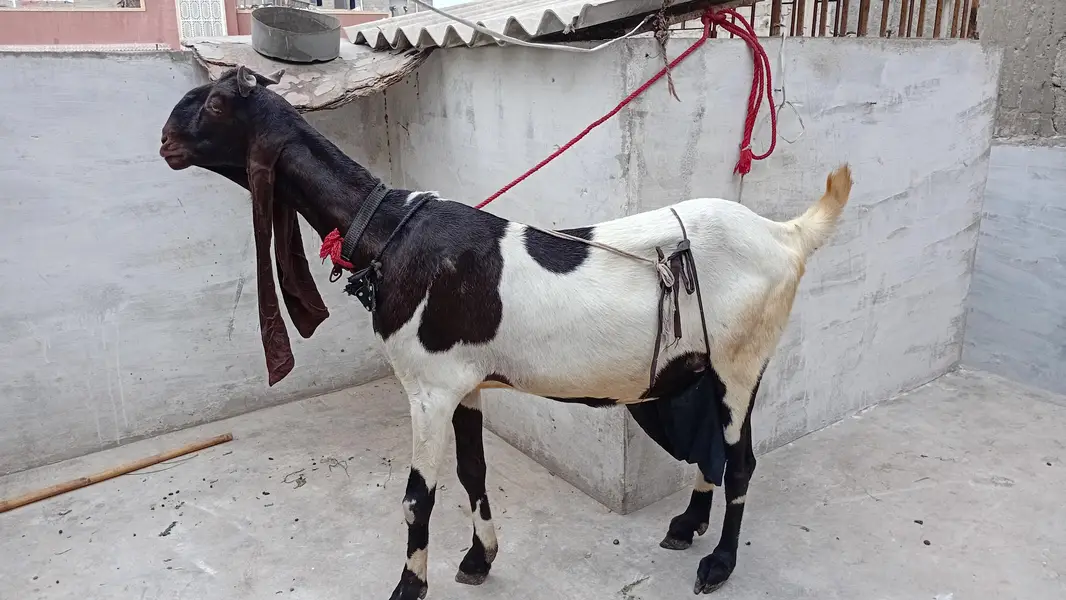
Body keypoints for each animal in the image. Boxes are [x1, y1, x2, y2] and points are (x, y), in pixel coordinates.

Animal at [160, 66, 852, 598]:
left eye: (216, 103)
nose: (166, 141)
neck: (388, 232)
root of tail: (785, 235)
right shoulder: (463, 384)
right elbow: (473, 472)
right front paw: (478, 558)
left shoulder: (429, 389)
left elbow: (417, 497)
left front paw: (409, 585)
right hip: (700, 367)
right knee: (711, 449)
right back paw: (687, 525)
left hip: (742, 362)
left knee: (740, 460)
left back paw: (719, 563)